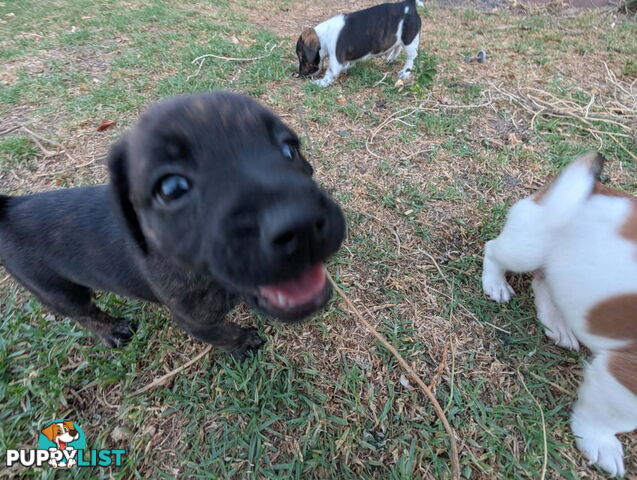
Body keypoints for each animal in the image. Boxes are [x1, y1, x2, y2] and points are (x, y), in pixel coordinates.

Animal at [0, 92, 346, 358]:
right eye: (172, 188)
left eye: (289, 149)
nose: (300, 224)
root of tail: (9, 207)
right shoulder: (196, 321)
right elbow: (224, 333)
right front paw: (244, 342)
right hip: (55, 290)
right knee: (83, 314)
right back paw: (112, 331)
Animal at [294, 0, 422, 87]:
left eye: (302, 57)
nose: (300, 75)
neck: (322, 37)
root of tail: (408, 4)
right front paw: (347, 67)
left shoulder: (336, 59)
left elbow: (330, 72)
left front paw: (321, 82)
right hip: (398, 37)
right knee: (397, 47)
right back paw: (390, 59)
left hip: (410, 40)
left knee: (411, 57)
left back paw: (405, 72)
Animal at [482, 153, 636, 476]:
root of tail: (598, 189)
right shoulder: (626, 374)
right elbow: (614, 417)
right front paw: (598, 442)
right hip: (528, 243)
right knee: (494, 250)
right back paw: (496, 282)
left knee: (544, 282)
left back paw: (558, 323)